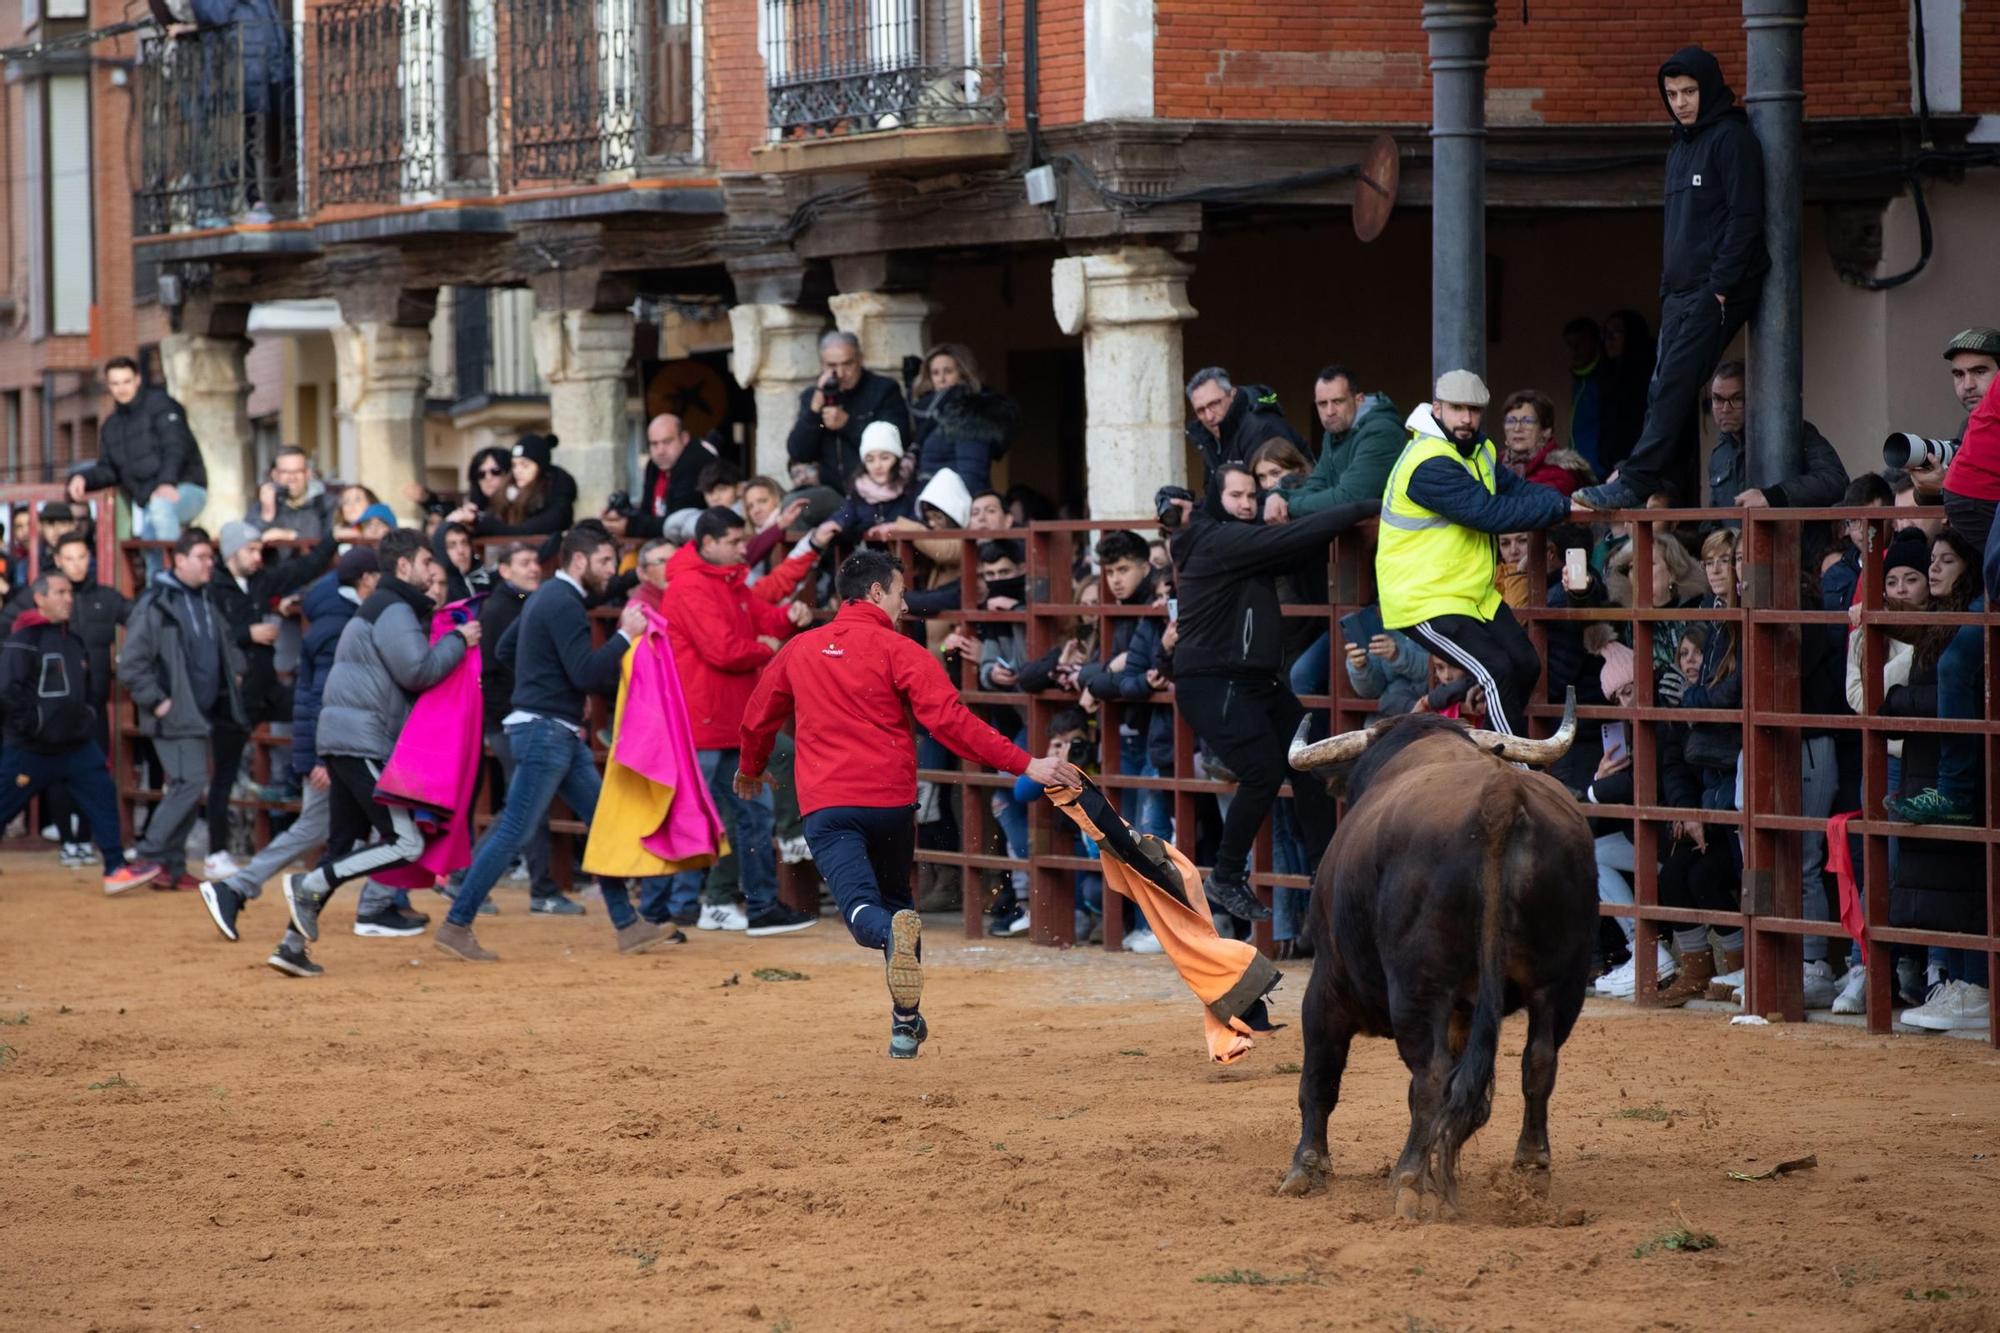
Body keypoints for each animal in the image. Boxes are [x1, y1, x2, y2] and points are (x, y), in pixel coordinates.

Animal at [1272, 700, 1600, 1208]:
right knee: (1539, 1063)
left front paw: (1306, 1169)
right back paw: (1529, 1169)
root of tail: (1501, 799)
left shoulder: (1326, 986)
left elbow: (1319, 1081)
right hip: (1560, 986)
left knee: (1429, 1076)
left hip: (1418, 989)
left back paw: (1408, 1178)